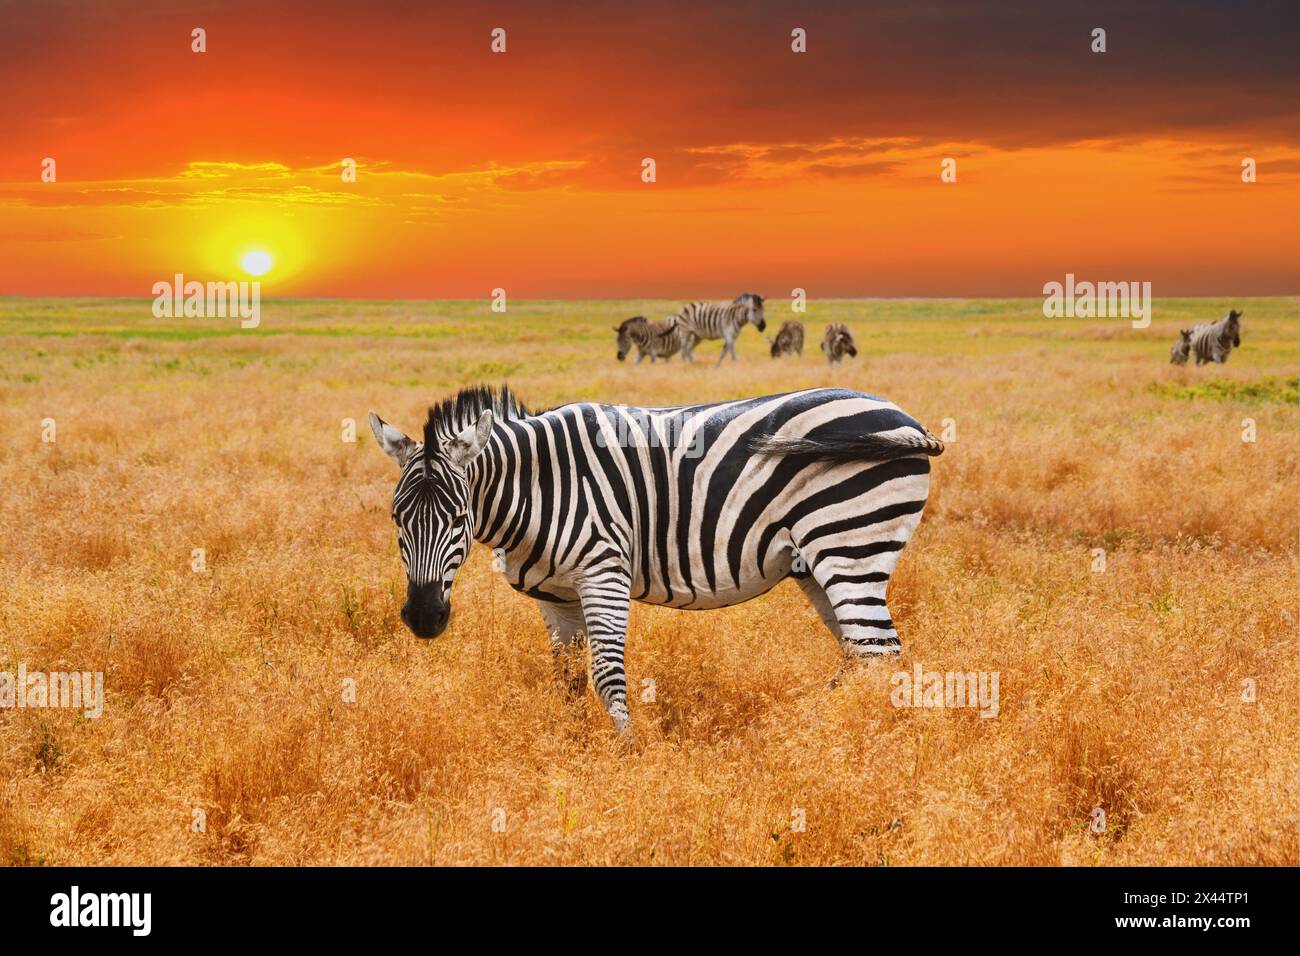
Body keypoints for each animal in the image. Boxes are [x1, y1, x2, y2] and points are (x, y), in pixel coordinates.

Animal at [366, 385, 946, 738]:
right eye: (396, 517)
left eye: (458, 516)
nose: (424, 619)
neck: (539, 487)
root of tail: (908, 418)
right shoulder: (555, 596)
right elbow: (568, 681)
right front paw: (572, 748)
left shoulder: (603, 572)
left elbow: (607, 674)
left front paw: (628, 753)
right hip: (819, 563)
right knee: (860, 656)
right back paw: (824, 730)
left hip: (850, 546)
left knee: (878, 652)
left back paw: (865, 743)